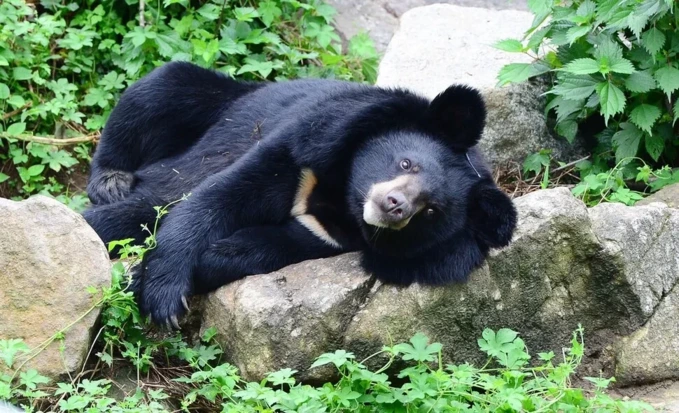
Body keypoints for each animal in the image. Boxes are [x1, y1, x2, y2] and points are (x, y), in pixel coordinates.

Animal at [83, 59, 520, 326]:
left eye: (431, 210)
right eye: (406, 163)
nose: (393, 206)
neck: (342, 195)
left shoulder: (330, 235)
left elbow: (263, 246)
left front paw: (163, 273)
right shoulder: (312, 141)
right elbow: (216, 196)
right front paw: (163, 297)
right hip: (223, 104)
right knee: (161, 91)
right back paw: (110, 183)